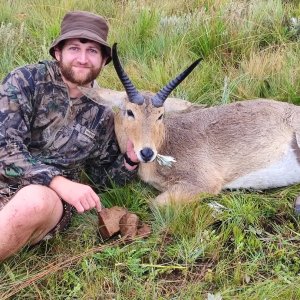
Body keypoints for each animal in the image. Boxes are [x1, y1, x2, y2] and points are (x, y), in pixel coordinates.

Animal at [106, 44, 300, 206]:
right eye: (130, 112)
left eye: (160, 115)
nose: (147, 152)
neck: (166, 141)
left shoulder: (204, 183)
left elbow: (154, 205)